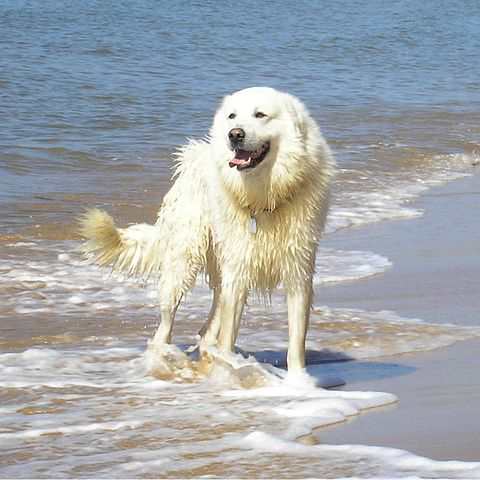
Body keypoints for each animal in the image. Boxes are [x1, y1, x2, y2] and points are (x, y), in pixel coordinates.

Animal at [79, 86, 334, 372]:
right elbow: (229, 333)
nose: (234, 134)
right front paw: (227, 367)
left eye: (260, 114)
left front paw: (298, 378)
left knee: (208, 326)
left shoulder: (298, 270)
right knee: (165, 324)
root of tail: (193, 156)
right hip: (184, 260)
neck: (265, 197)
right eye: (232, 116)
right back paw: (165, 355)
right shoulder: (238, 268)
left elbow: (296, 340)